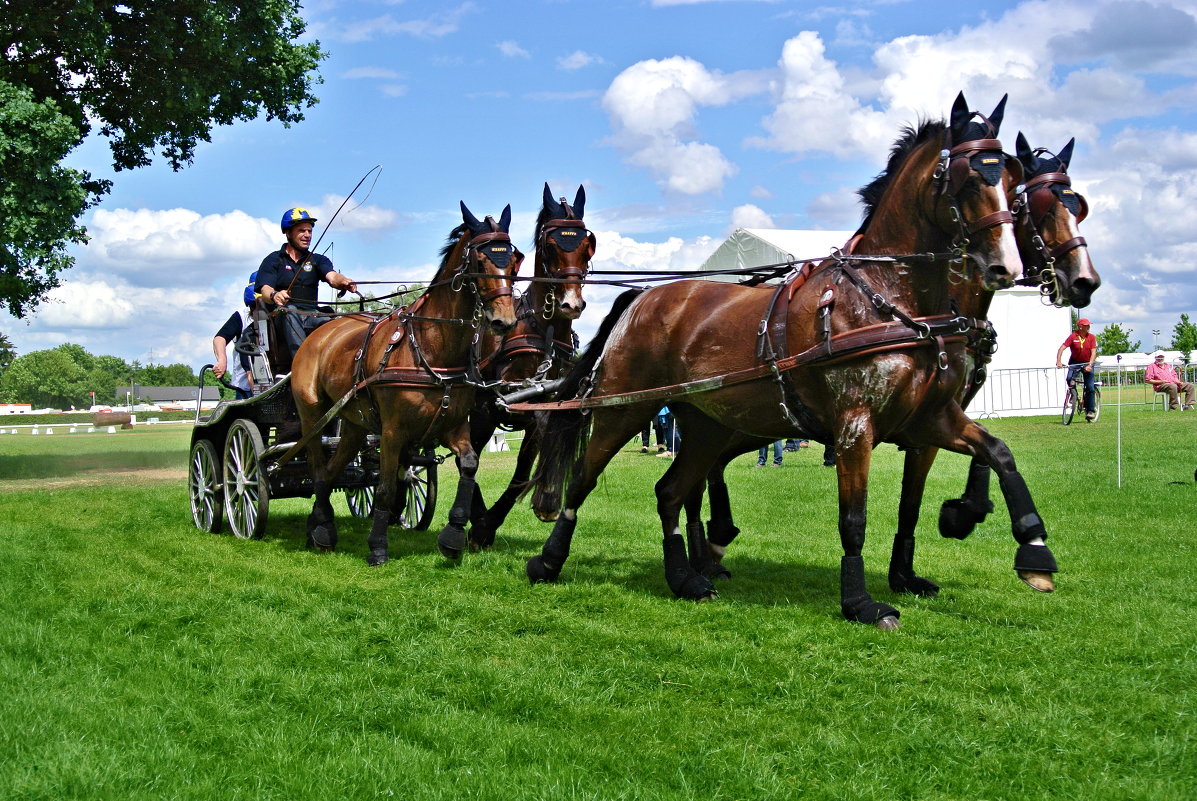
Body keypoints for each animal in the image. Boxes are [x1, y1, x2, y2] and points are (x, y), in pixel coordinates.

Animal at [290, 203, 519, 565]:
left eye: (514, 260)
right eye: (479, 262)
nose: (504, 321)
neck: (430, 345)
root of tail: (321, 331)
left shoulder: (454, 425)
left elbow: (469, 465)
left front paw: (454, 533)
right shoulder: (393, 431)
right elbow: (385, 489)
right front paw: (378, 545)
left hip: (354, 424)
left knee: (329, 471)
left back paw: (318, 526)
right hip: (314, 415)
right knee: (316, 466)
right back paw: (323, 527)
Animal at [459, 183, 591, 545]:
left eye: (587, 244)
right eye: (550, 244)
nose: (571, 303)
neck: (543, 334)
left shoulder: (539, 406)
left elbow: (521, 469)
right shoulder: (488, 409)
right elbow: (471, 461)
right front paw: (481, 522)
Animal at [524, 93, 1038, 627]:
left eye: (1013, 180)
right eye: (968, 178)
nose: (1008, 266)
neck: (890, 300)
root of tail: (643, 297)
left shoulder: (928, 418)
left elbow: (994, 452)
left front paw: (1028, 545)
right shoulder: (855, 426)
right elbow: (854, 518)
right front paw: (860, 602)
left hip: (707, 427)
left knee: (671, 492)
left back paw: (686, 577)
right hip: (624, 409)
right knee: (583, 480)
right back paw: (549, 560)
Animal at [689, 131, 1096, 596]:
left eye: (1078, 207)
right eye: (1035, 207)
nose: (1084, 280)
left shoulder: (935, 416)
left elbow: (935, 487)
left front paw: (941, 536)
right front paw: (966, 517)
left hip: (740, 424)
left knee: (705, 471)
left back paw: (710, 549)